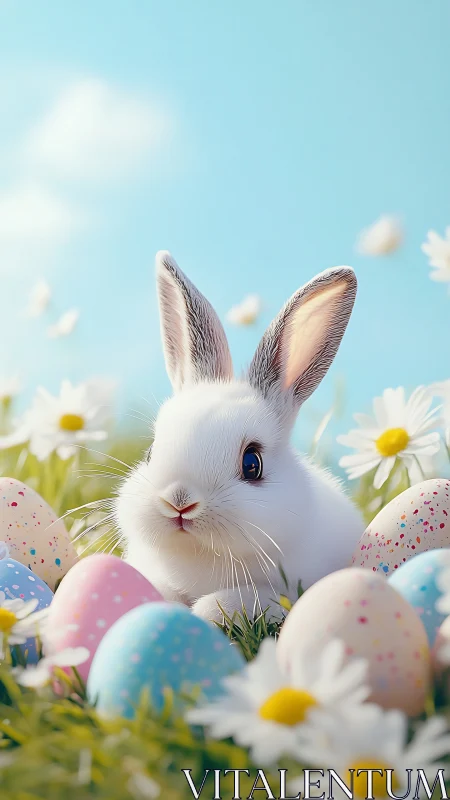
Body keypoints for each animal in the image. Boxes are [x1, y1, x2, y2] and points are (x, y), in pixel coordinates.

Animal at [115, 250, 364, 622]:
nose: (179, 502)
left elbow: (229, 601)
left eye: (253, 463)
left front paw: (204, 611)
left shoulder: (283, 592)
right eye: (150, 452)